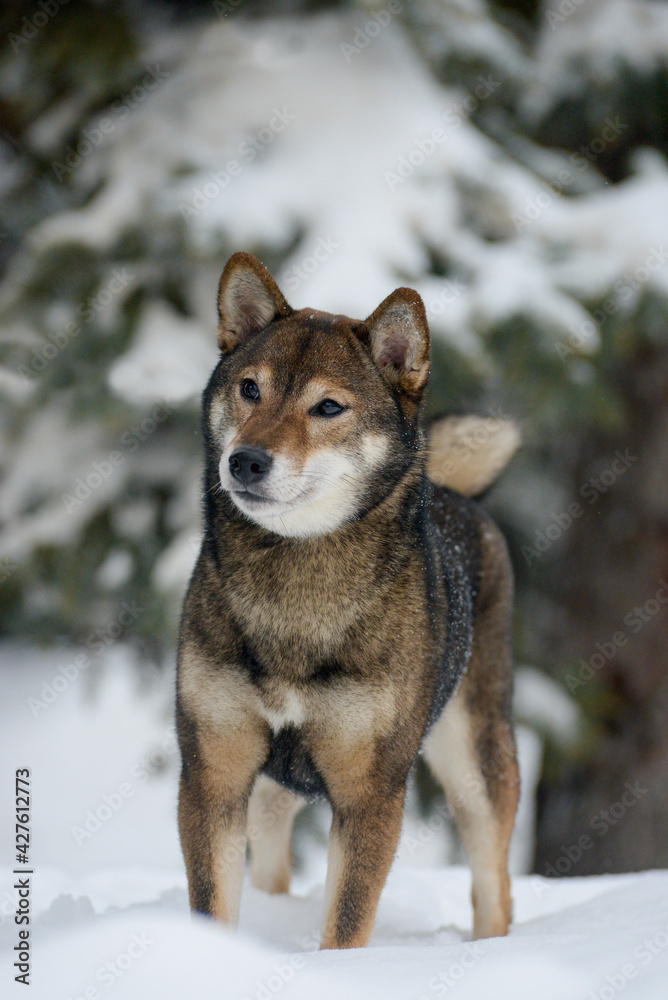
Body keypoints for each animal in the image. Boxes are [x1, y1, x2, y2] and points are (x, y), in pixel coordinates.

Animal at [175, 254, 520, 948]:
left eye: (328, 406)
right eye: (250, 389)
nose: (245, 461)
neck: (295, 593)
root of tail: (455, 494)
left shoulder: (370, 792)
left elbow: (346, 922)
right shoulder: (213, 771)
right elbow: (214, 902)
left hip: (476, 762)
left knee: (493, 886)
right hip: (272, 790)